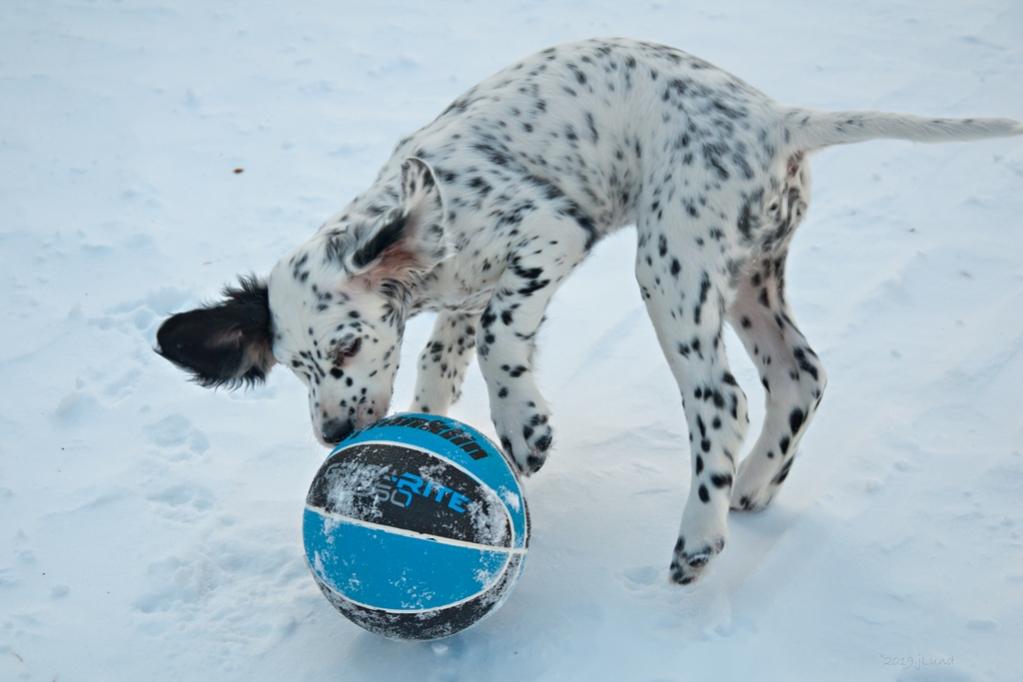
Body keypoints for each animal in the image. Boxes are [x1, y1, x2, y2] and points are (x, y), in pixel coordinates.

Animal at [155, 37, 1018, 584]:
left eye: (343, 349)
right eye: (293, 370)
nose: (334, 435)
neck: (427, 220)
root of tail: (778, 118)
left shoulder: (545, 236)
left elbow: (501, 337)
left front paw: (523, 430)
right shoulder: (463, 294)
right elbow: (439, 362)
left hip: (671, 264)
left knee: (722, 401)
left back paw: (699, 538)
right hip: (748, 276)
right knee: (799, 376)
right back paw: (753, 486)